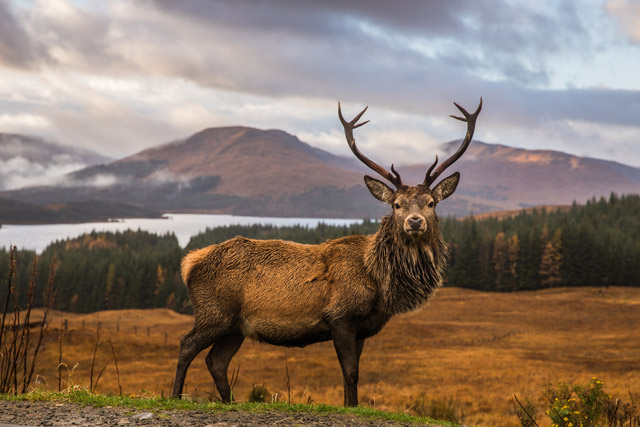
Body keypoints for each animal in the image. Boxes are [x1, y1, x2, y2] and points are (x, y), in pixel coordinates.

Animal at [171, 98, 482, 406]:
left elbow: (352, 373)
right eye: (396, 204)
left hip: (235, 326)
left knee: (216, 361)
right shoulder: (340, 315)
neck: (378, 281)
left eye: (431, 203)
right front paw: (352, 405)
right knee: (187, 345)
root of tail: (189, 263)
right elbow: (351, 371)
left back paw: (229, 402)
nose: (414, 222)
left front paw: (350, 404)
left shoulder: (362, 327)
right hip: (214, 312)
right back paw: (175, 395)